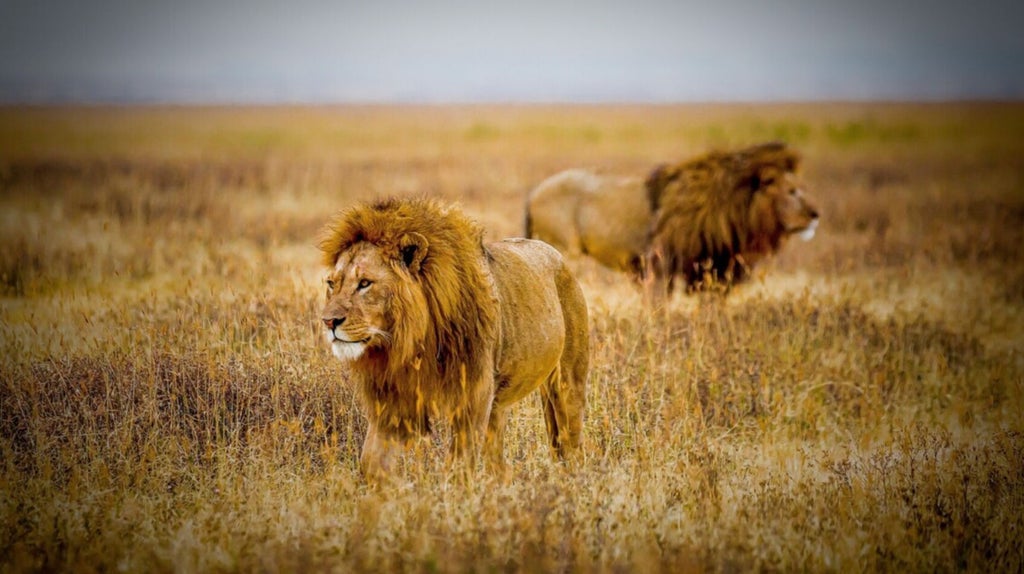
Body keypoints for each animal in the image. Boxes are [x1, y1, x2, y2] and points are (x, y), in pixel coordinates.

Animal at [315, 196, 589, 478]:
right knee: (498, 463)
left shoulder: (474, 395)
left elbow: (459, 464)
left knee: (571, 443)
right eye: (332, 284)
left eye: (365, 283)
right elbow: (371, 462)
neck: (410, 342)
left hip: (568, 384)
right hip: (499, 406)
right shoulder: (392, 400)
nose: (328, 321)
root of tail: (555, 254)